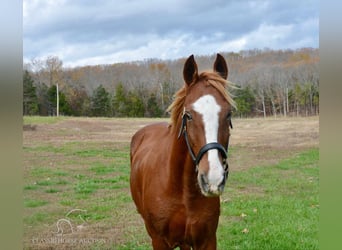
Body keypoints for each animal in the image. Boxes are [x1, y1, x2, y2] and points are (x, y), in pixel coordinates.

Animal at [130, 53, 234, 249]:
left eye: (229, 114)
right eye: (189, 115)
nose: (213, 180)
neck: (181, 190)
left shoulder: (207, 240)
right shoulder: (159, 241)